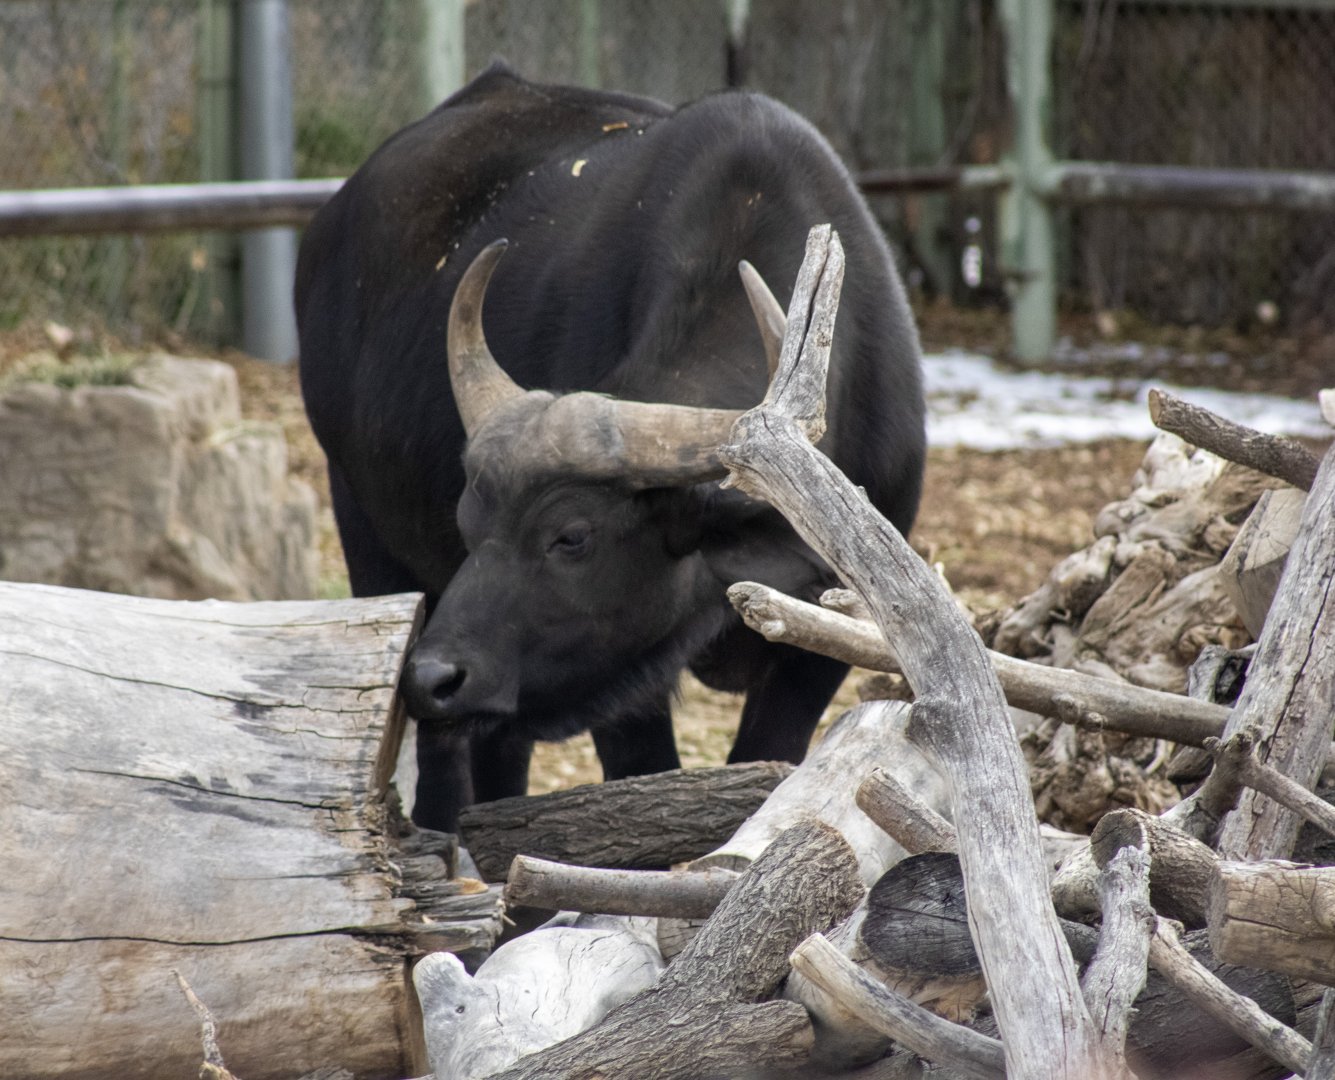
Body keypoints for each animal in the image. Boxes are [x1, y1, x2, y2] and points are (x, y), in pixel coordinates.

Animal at [294, 62, 925, 831]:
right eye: (469, 527)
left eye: (572, 537)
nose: (431, 675)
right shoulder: (626, 682)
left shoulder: (827, 642)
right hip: (363, 530)